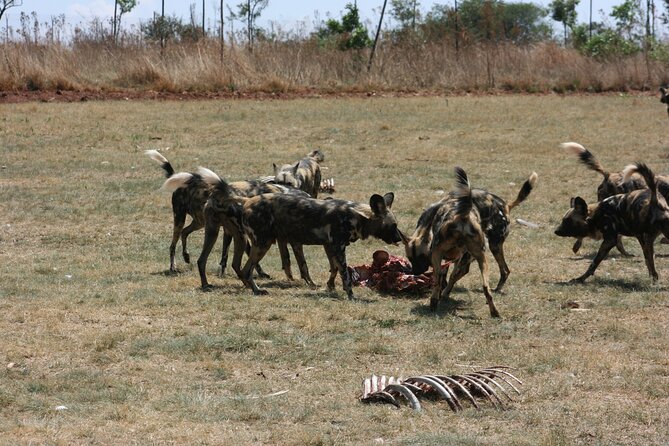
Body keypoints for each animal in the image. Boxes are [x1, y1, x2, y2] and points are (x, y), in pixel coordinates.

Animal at [402, 170, 536, 292]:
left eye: (422, 257)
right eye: (410, 258)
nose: (416, 272)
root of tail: (506, 205)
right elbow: (445, 274)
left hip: (493, 246)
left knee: (504, 270)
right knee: (504, 271)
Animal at [426, 167, 498, 318]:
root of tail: (464, 216)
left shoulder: (439, 256)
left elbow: (443, 278)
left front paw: (441, 296)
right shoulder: (459, 260)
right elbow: (453, 277)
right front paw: (446, 294)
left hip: (436, 253)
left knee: (437, 279)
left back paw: (433, 302)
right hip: (482, 259)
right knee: (486, 287)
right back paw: (494, 312)